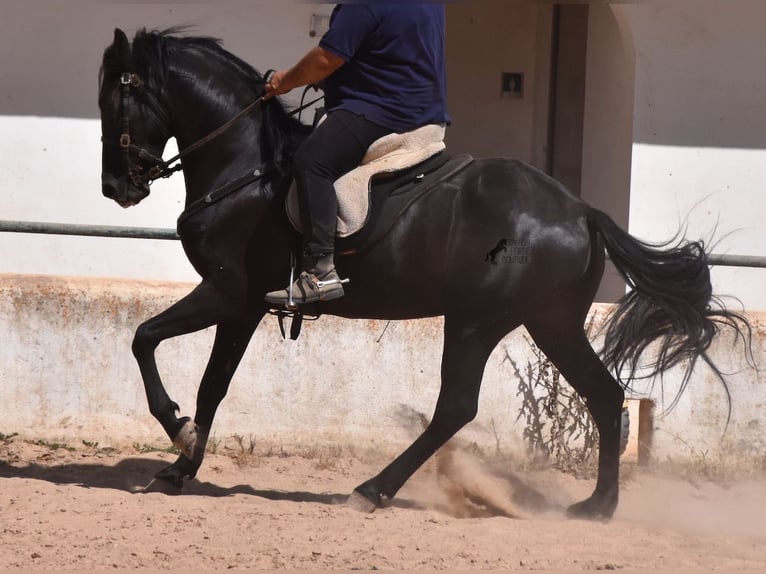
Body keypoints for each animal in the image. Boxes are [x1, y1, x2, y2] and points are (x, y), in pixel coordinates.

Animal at [99, 29, 752, 520]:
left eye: (113, 100)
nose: (116, 189)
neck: (246, 165)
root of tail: (580, 210)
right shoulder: (246, 306)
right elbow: (211, 384)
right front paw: (181, 465)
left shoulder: (228, 292)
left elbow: (144, 339)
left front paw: (176, 430)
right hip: (551, 322)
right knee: (604, 393)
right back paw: (596, 507)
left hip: (476, 320)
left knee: (456, 407)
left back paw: (372, 490)